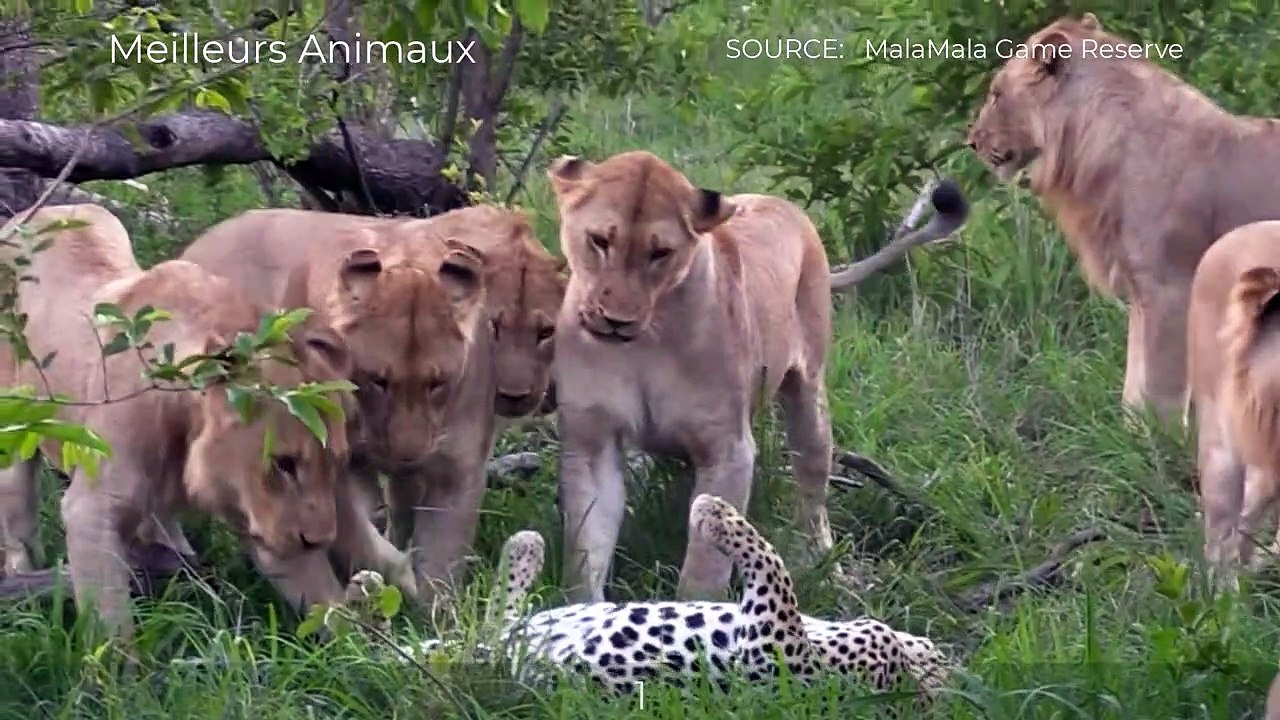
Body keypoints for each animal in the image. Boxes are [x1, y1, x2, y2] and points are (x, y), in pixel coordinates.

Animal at [0, 204, 396, 637]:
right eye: (285, 464)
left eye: (337, 463)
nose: (319, 540)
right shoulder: (91, 511)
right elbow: (112, 623)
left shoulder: (265, 521)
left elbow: (325, 602)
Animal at [178, 204, 562, 602]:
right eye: (378, 380)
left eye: (437, 383)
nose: (407, 453)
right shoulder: (332, 469)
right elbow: (360, 542)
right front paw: (392, 582)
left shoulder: (455, 469)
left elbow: (440, 560)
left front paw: (436, 610)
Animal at [546, 150, 968, 602]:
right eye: (599, 241)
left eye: (660, 253)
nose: (615, 321)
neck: (643, 345)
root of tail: (786, 206)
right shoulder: (593, 444)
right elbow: (585, 554)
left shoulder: (727, 449)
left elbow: (704, 567)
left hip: (808, 397)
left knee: (813, 489)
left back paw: (825, 565)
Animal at [966, 12, 1280, 425]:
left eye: (997, 94)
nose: (971, 142)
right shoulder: (1140, 289)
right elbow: (1135, 383)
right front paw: (1130, 432)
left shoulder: (1170, 287)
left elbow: (1162, 388)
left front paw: (1162, 439)